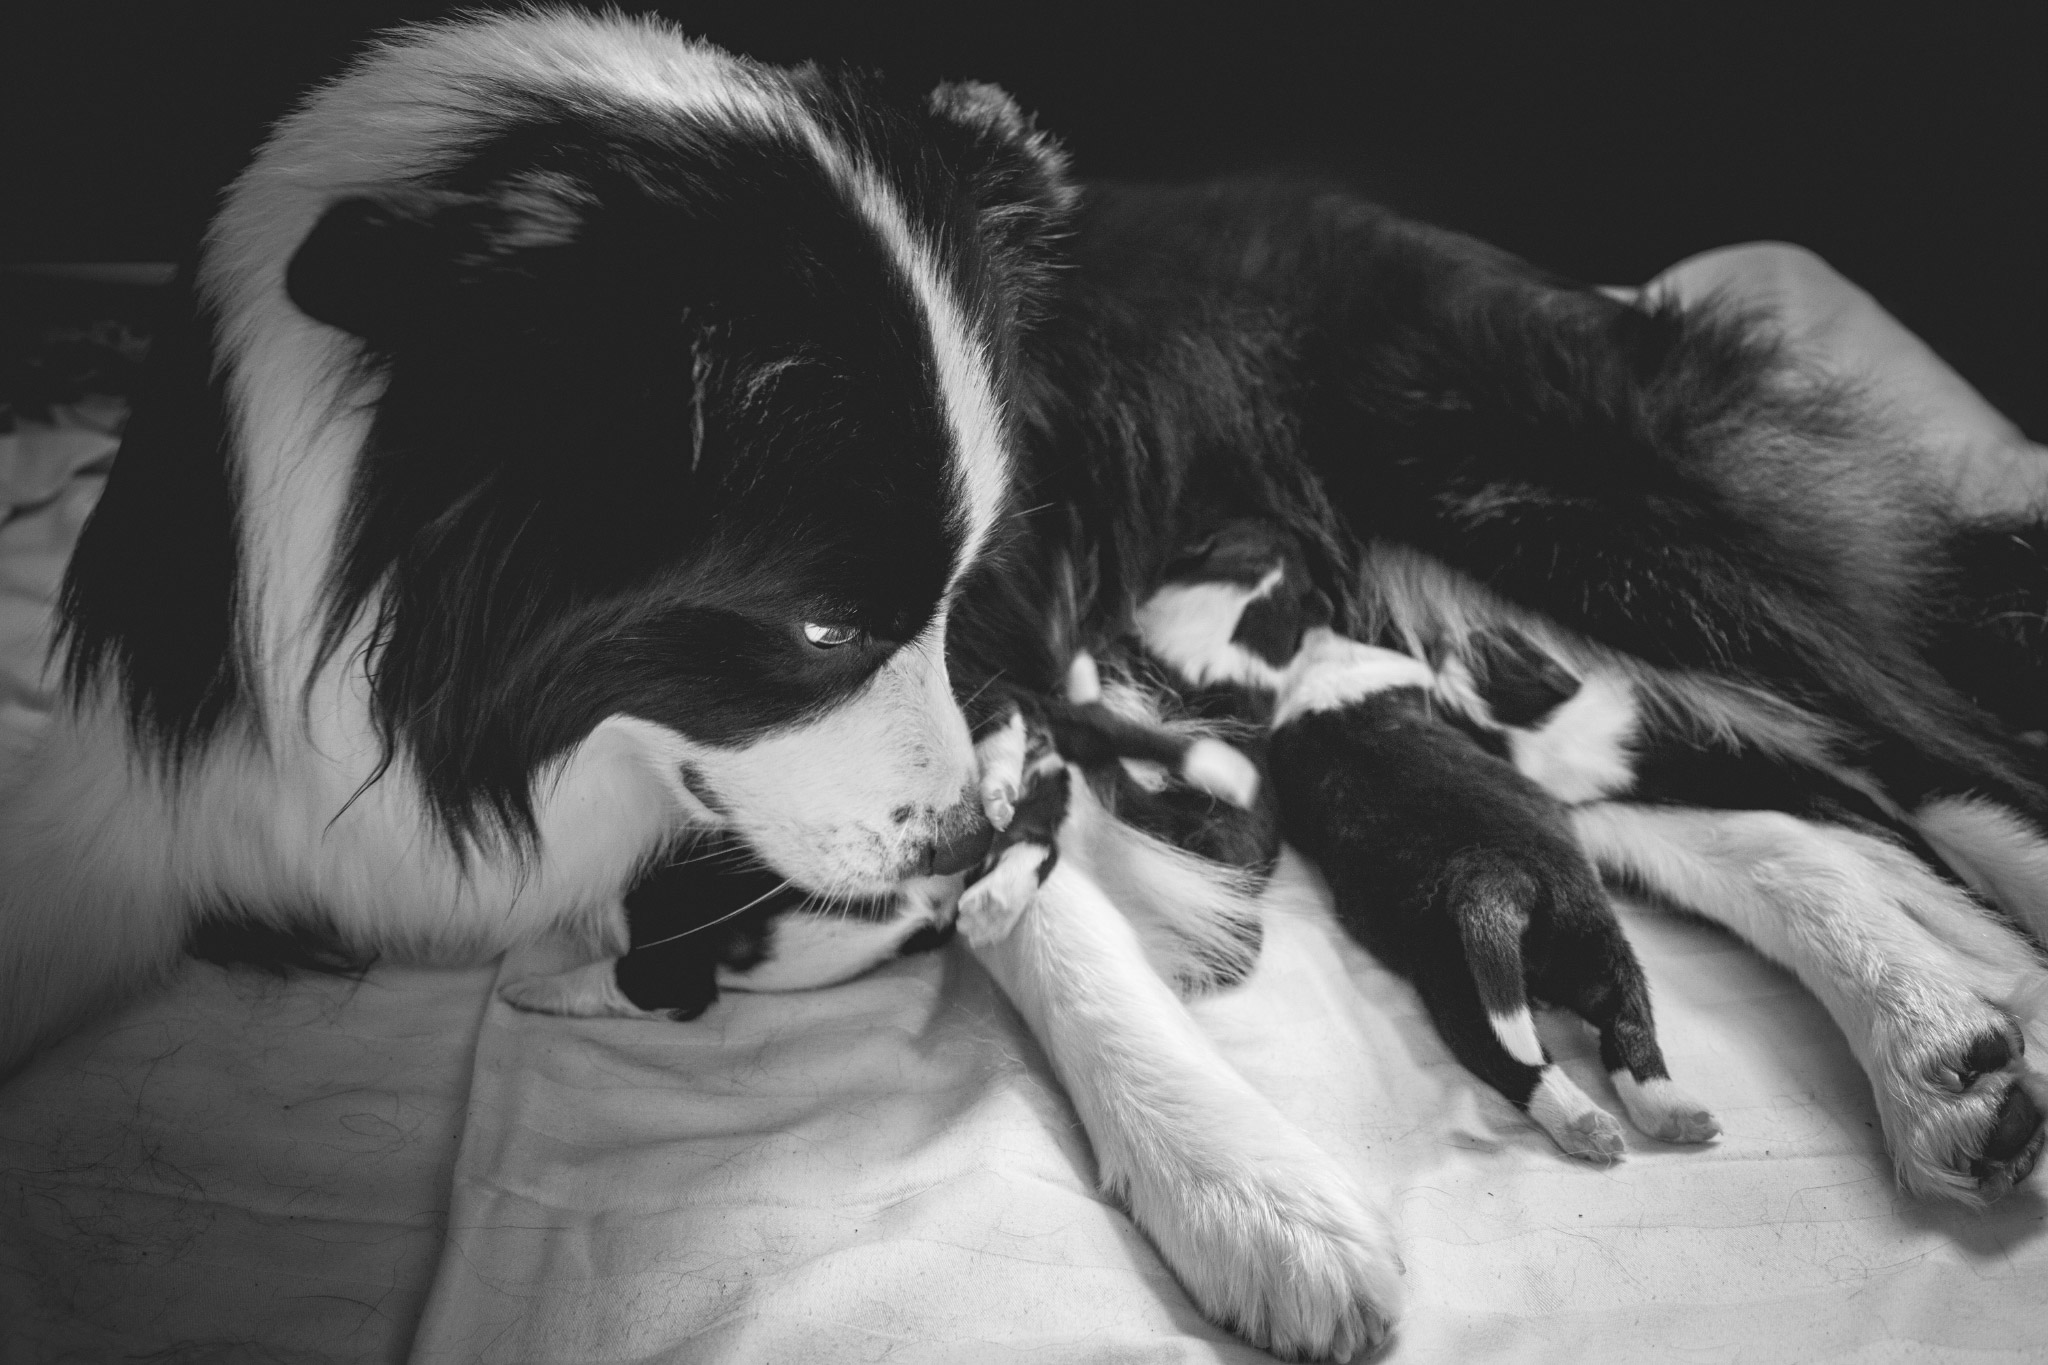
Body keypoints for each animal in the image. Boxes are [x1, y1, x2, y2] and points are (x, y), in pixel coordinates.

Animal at [4, 5, 2048, 1358]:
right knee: (1741, 814)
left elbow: (1061, 936)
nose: (974, 836)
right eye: (816, 633)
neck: (508, 727)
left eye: (945, 589)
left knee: (1930, 737)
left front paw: (1249, 1189)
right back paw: (1940, 1043)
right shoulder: (184, 784)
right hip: (1488, 632)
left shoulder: (997, 701)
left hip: (1577, 512)